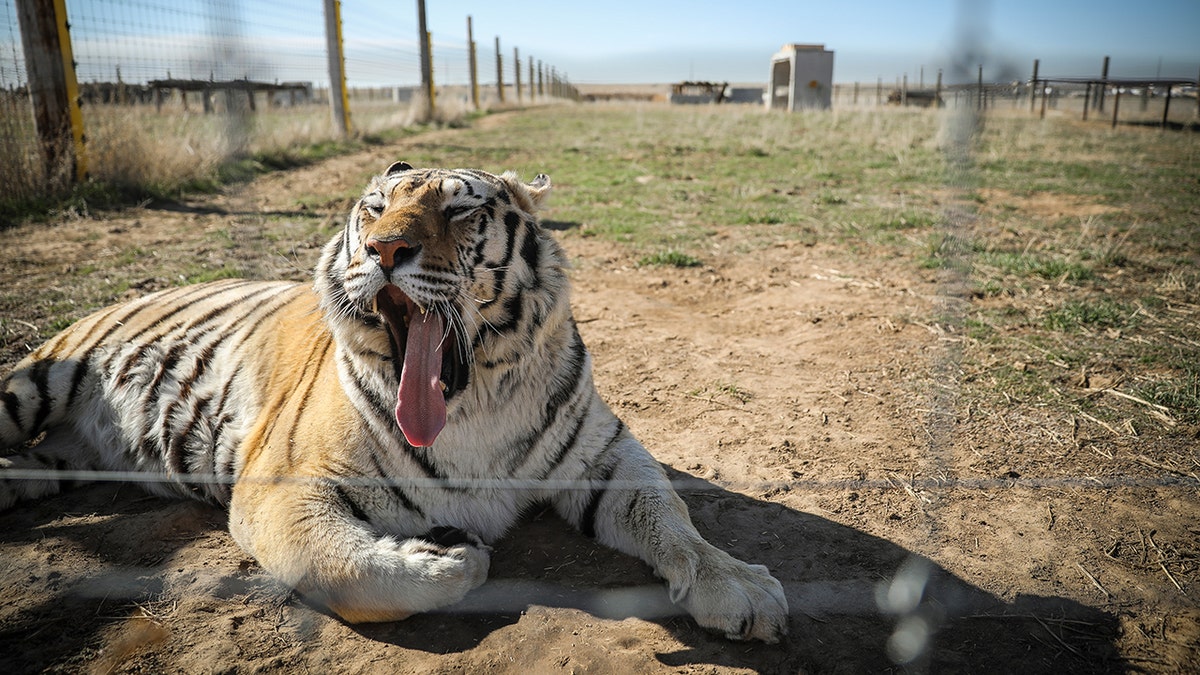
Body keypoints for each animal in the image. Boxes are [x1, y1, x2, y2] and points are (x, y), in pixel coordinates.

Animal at [0, 162, 788, 642]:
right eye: (373, 210)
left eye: (459, 208)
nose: (383, 249)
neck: (474, 403)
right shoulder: (281, 484)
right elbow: (341, 564)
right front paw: (452, 559)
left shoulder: (605, 457)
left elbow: (672, 517)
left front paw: (739, 586)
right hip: (30, 385)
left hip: (58, 457)